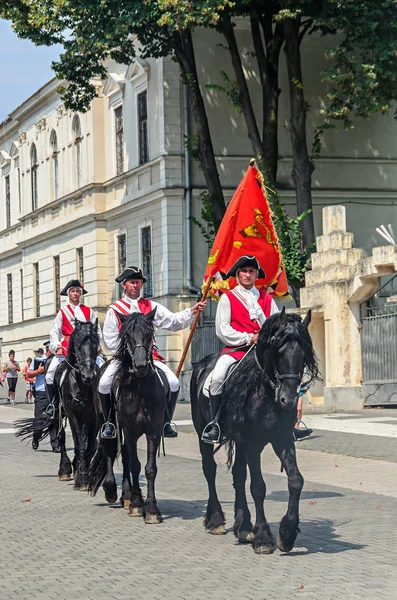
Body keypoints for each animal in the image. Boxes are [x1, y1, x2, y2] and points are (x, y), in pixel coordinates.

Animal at [15, 322, 100, 490]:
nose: (88, 376)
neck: (82, 385)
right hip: (58, 414)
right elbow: (79, 444)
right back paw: (64, 470)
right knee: (60, 436)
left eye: (96, 345)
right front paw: (82, 479)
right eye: (78, 346)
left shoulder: (93, 418)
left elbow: (91, 445)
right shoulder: (74, 416)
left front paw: (82, 471)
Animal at [88, 312, 169, 524]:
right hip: (108, 423)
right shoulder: (130, 431)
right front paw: (137, 505)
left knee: (124, 455)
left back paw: (128, 495)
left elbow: (149, 468)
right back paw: (114, 491)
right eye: (128, 336)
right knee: (110, 450)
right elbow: (134, 465)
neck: (140, 390)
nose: (140, 366)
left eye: (149, 334)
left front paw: (151, 509)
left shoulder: (153, 431)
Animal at [189, 312, 318, 556]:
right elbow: (258, 487)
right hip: (204, 432)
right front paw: (263, 538)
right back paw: (216, 520)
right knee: (210, 470)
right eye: (278, 351)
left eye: (303, 355)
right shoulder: (252, 442)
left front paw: (287, 534)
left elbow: (296, 480)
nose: (289, 400)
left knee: (238, 476)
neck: (266, 392)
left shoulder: (281, 439)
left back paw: (244, 527)